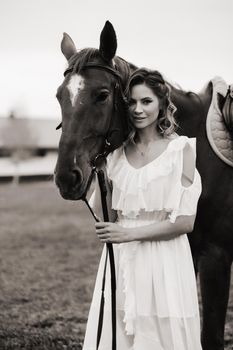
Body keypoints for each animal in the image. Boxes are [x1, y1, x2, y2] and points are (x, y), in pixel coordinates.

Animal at [55, 20, 233, 348]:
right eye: (59, 96)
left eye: (102, 94)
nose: (65, 177)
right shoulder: (190, 248)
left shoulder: (217, 254)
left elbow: (210, 337)